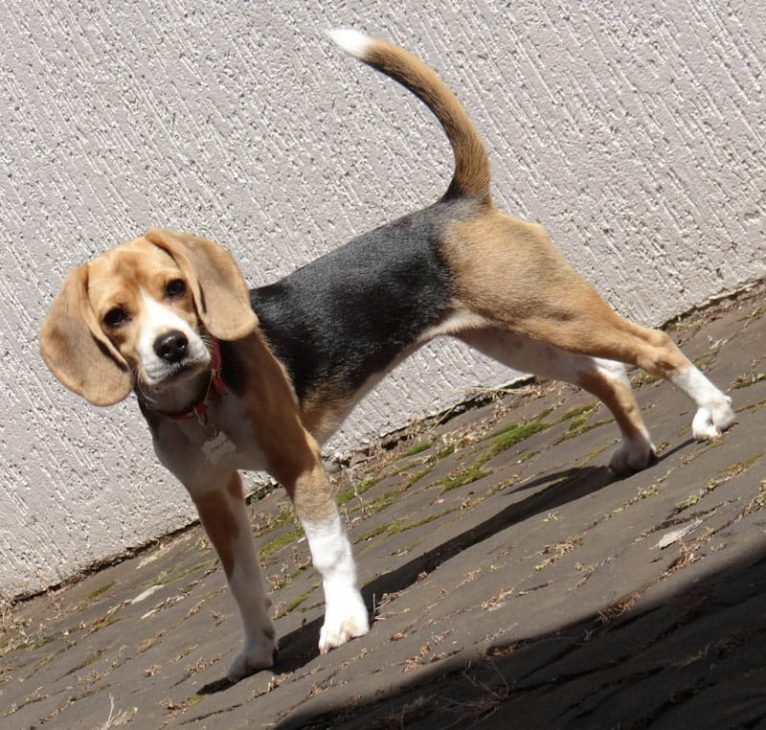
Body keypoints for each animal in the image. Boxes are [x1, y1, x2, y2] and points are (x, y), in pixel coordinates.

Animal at [39, 27, 736, 676]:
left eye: (176, 288)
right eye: (116, 317)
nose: (173, 344)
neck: (202, 395)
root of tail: (456, 203)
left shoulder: (298, 462)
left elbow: (325, 552)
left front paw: (343, 623)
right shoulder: (213, 496)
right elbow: (243, 585)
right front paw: (257, 651)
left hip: (552, 314)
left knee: (652, 345)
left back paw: (713, 413)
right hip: (517, 339)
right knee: (608, 375)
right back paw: (636, 449)